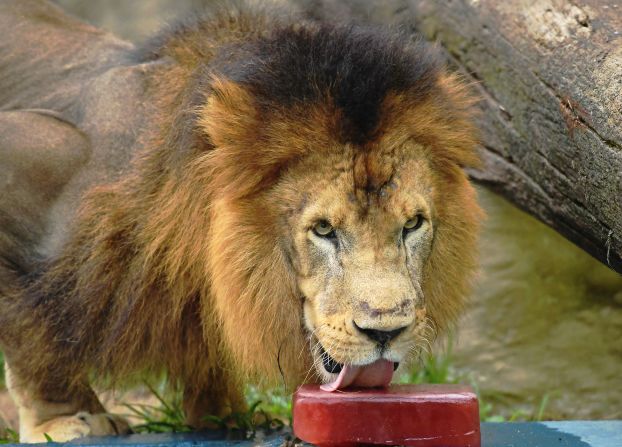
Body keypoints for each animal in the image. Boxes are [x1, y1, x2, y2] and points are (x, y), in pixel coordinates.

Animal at [0, 0, 482, 440]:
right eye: (324, 229)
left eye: (412, 224)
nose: (386, 332)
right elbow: (33, 339)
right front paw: (66, 418)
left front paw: (224, 414)